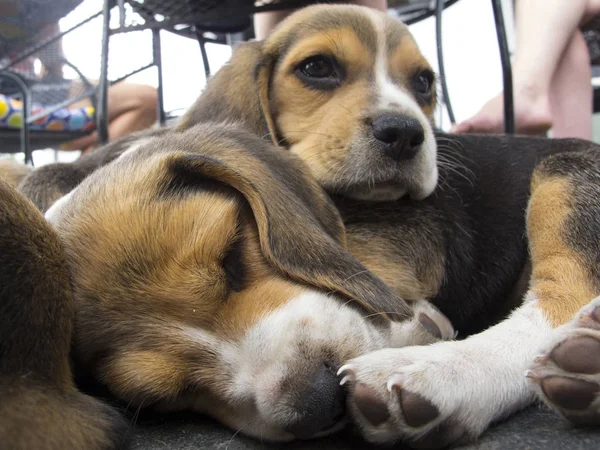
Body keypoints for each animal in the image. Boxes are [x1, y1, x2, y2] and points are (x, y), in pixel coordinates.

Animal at [12, 2, 600, 446]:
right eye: (158, 397)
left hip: (566, 167)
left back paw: (442, 375)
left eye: (232, 255)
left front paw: (415, 330)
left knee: (558, 301)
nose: (317, 401)